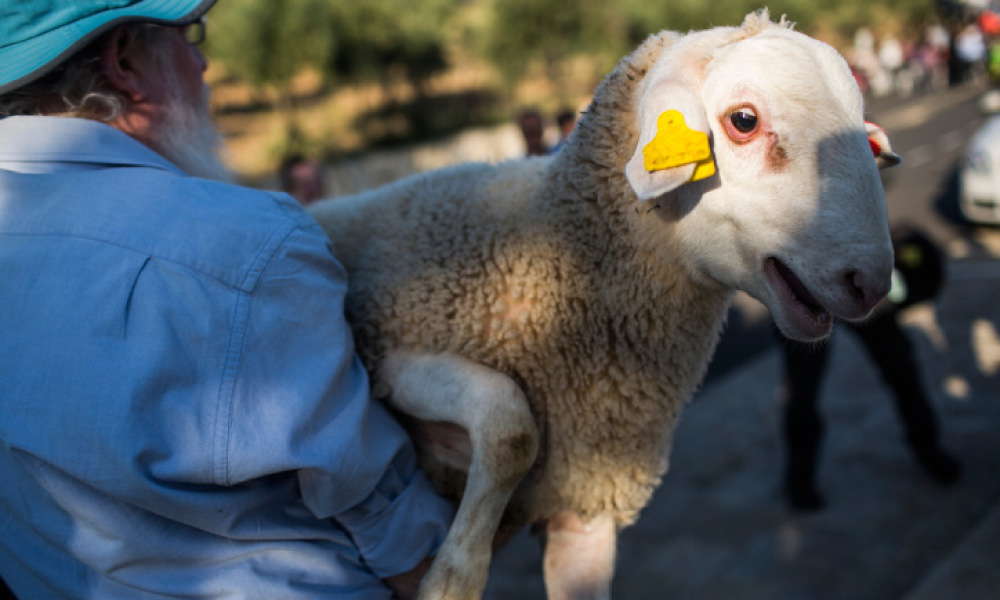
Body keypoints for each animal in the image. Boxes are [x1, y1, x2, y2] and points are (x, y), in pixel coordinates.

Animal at [310, 10, 900, 600]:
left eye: (867, 141)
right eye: (744, 121)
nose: (869, 283)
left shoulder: (586, 505)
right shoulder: (387, 357)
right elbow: (512, 425)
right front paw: (454, 576)